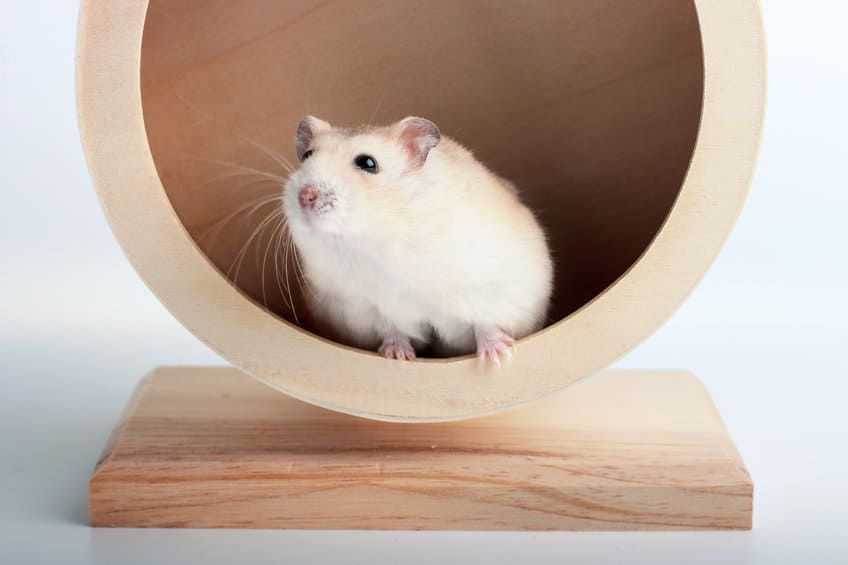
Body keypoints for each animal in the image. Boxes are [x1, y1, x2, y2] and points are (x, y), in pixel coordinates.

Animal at [282, 115, 552, 364]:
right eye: (307, 155)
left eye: (367, 162)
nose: (305, 196)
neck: (373, 240)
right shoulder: (364, 306)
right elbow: (393, 330)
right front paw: (399, 356)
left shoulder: (487, 287)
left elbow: (485, 322)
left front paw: (498, 358)